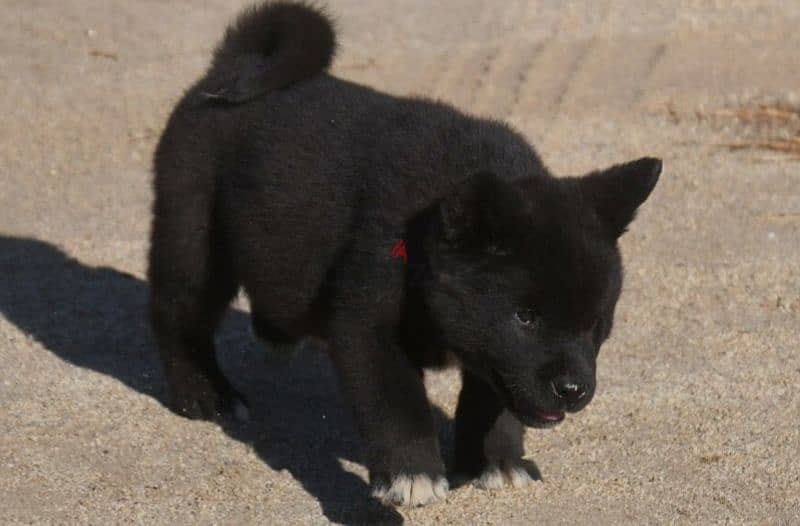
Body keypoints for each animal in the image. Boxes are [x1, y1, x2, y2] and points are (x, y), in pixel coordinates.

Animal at [150, 2, 664, 510]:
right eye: (525, 317)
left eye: (597, 323)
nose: (574, 390)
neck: (422, 239)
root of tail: (231, 65)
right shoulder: (369, 327)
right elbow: (397, 406)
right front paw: (411, 474)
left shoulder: (493, 357)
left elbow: (491, 401)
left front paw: (496, 460)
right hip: (195, 242)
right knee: (178, 317)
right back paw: (203, 394)